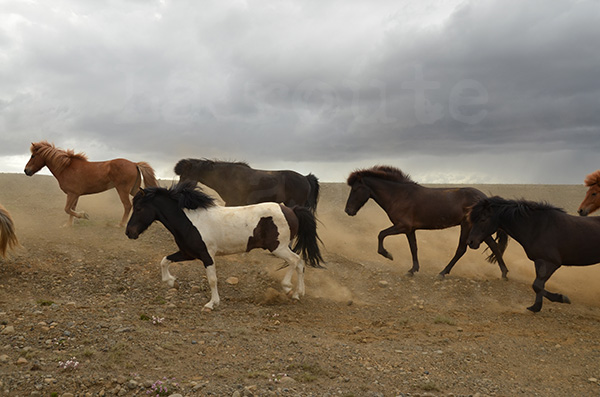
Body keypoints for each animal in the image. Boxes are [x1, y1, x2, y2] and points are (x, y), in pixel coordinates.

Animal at [344, 167, 508, 278]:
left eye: (356, 189)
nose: (348, 210)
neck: (399, 195)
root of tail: (484, 198)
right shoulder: (410, 230)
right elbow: (414, 248)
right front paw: (412, 270)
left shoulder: (402, 226)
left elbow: (381, 234)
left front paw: (387, 254)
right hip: (479, 229)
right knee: (494, 246)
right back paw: (504, 273)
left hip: (468, 226)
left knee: (462, 249)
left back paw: (443, 273)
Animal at [466, 196, 600, 310]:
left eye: (483, 219)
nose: (470, 242)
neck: (537, 227)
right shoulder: (539, 261)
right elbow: (539, 285)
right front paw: (535, 307)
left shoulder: (551, 263)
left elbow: (537, 285)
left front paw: (562, 298)